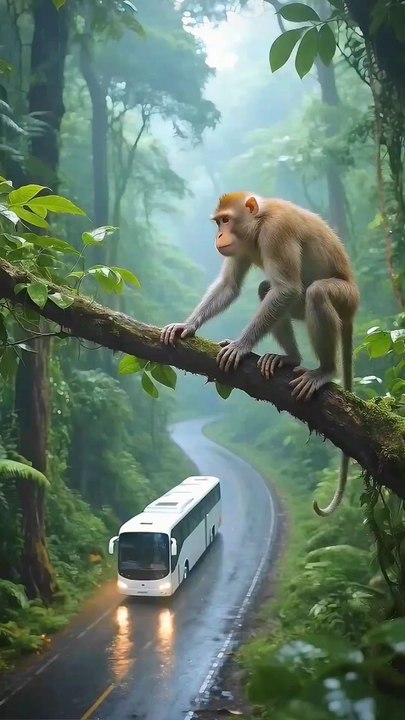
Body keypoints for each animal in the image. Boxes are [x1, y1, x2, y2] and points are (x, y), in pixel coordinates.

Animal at [160, 192, 360, 516]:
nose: (218, 236)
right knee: (267, 289)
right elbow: (230, 287)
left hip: (345, 298)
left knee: (313, 293)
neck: (258, 223)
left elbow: (287, 288)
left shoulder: (277, 232)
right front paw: (187, 325)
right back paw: (291, 359)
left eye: (225, 220)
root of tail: (354, 307)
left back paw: (325, 370)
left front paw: (241, 346)